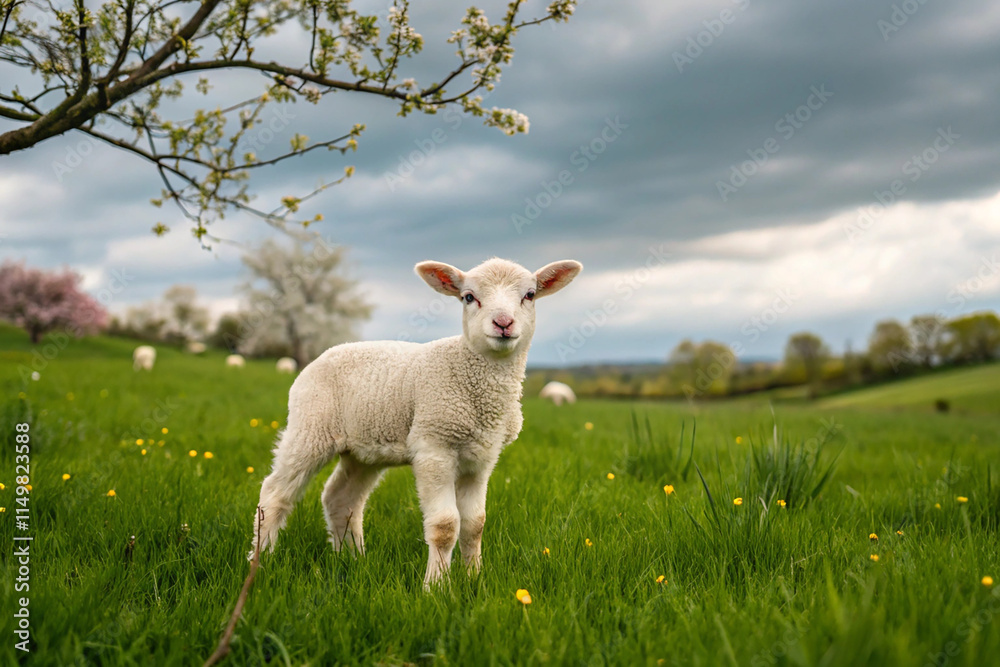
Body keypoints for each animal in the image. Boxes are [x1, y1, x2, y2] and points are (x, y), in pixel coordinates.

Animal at [252, 257, 582, 588]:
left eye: (530, 295)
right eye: (469, 297)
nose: (503, 323)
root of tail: (326, 353)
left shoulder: (482, 457)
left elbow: (475, 524)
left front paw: (474, 579)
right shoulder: (434, 447)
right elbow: (445, 525)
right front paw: (436, 586)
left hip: (363, 450)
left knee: (340, 499)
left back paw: (353, 559)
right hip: (310, 428)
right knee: (275, 493)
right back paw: (260, 560)